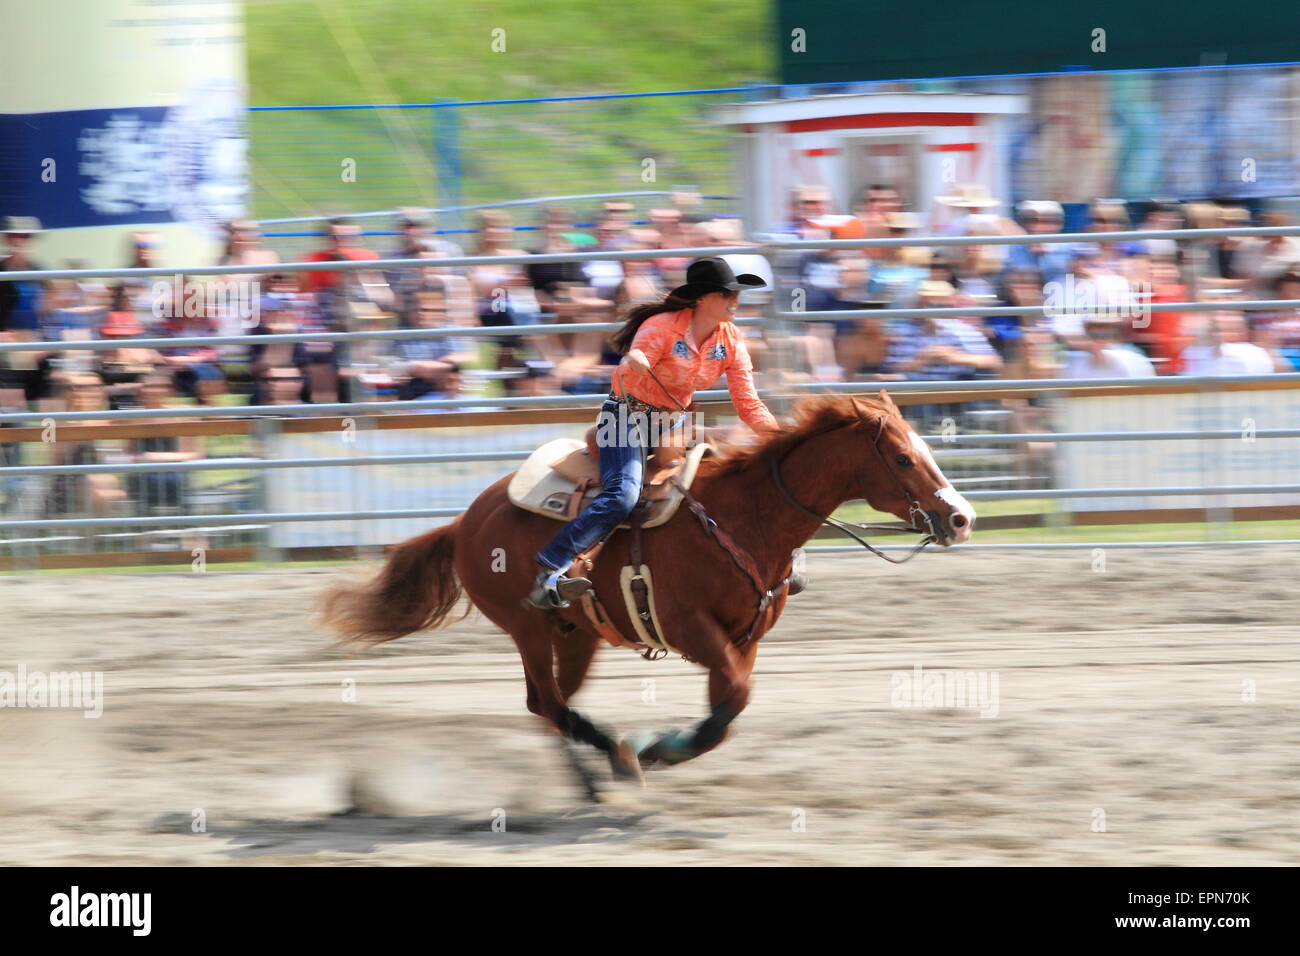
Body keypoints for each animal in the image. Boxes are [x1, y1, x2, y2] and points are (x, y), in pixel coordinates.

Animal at [322, 392, 977, 790]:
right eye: (902, 457)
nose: (962, 518)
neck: (744, 517)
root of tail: (465, 520)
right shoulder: (694, 630)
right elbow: (733, 702)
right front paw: (656, 748)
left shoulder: (744, 639)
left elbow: (727, 711)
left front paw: (667, 745)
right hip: (528, 626)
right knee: (547, 703)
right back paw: (614, 760)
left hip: (576, 635)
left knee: (549, 704)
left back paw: (593, 779)